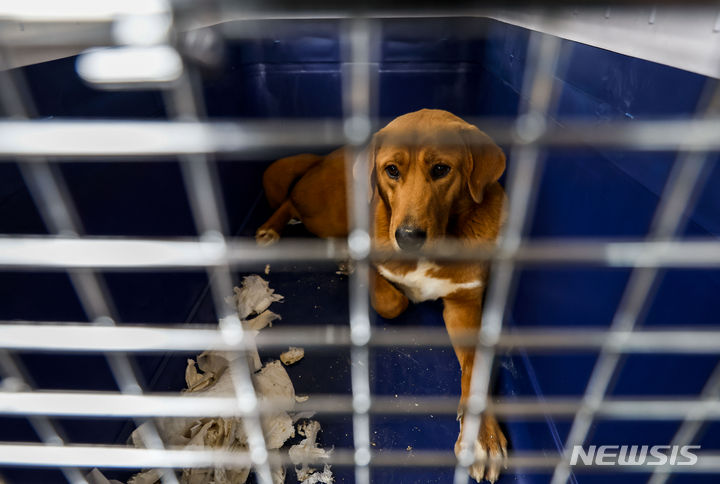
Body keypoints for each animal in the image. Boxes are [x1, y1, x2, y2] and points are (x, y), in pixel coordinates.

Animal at [256, 109, 510, 484]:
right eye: (392, 170)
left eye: (441, 169)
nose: (407, 236)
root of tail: (324, 157)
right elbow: (391, 301)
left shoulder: (464, 306)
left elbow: (475, 369)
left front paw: (482, 438)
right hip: (326, 214)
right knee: (291, 201)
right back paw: (271, 229)